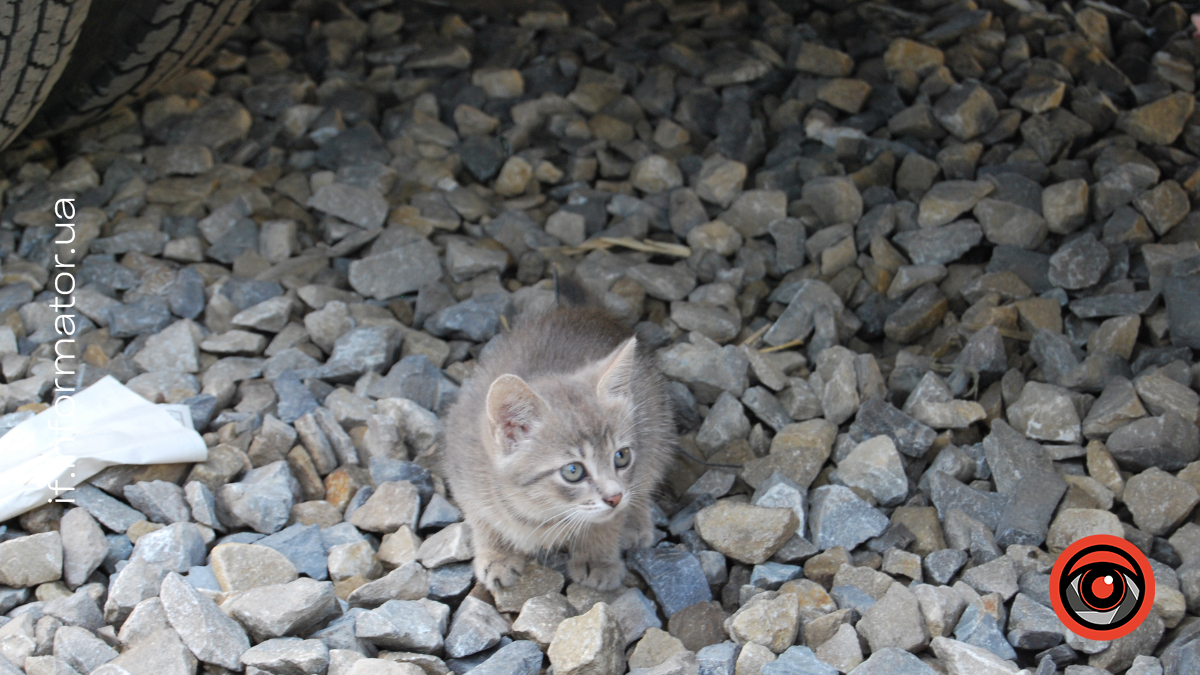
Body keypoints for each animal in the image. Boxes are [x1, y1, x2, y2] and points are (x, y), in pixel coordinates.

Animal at [441, 294, 676, 588]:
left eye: (621, 456)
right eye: (573, 471)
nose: (615, 497)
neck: (541, 514)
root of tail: (586, 311)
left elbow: (607, 520)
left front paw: (598, 557)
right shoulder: (462, 470)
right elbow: (481, 518)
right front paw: (497, 554)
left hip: (657, 425)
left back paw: (635, 522)